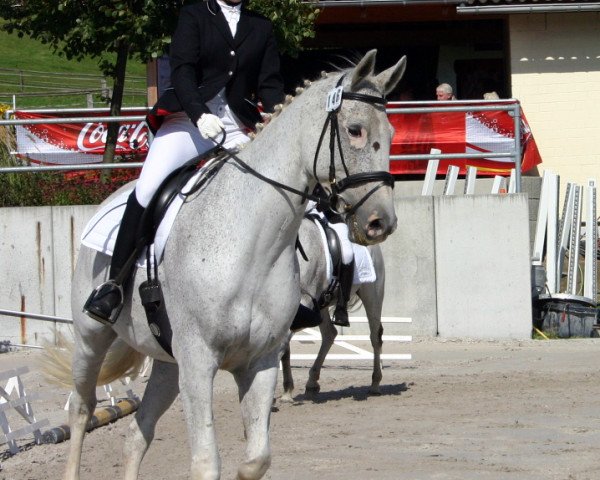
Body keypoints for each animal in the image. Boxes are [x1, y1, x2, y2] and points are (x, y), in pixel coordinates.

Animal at [280, 215, 386, 402]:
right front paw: (286, 390)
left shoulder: (304, 305)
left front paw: (285, 391)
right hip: (322, 305)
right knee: (330, 333)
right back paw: (312, 383)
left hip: (373, 295)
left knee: (375, 336)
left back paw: (375, 383)